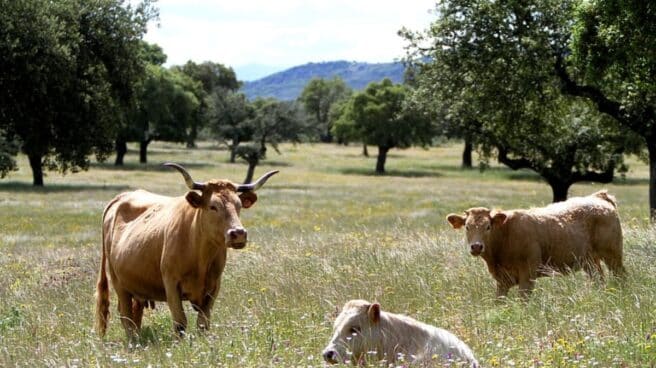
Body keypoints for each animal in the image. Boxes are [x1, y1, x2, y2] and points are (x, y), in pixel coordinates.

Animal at [95, 164, 276, 340]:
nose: (238, 233)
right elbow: (180, 322)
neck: (200, 255)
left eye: (239, 206)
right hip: (118, 282)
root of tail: (122, 197)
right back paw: (133, 342)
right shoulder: (171, 284)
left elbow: (203, 323)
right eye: (213, 206)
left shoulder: (214, 287)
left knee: (135, 314)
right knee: (125, 315)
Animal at [446, 190, 624, 300]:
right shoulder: (502, 281)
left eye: (488, 227)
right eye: (467, 227)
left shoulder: (528, 274)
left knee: (621, 276)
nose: (476, 246)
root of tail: (598, 197)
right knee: (598, 279)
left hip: (613, 255)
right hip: (590, 261)